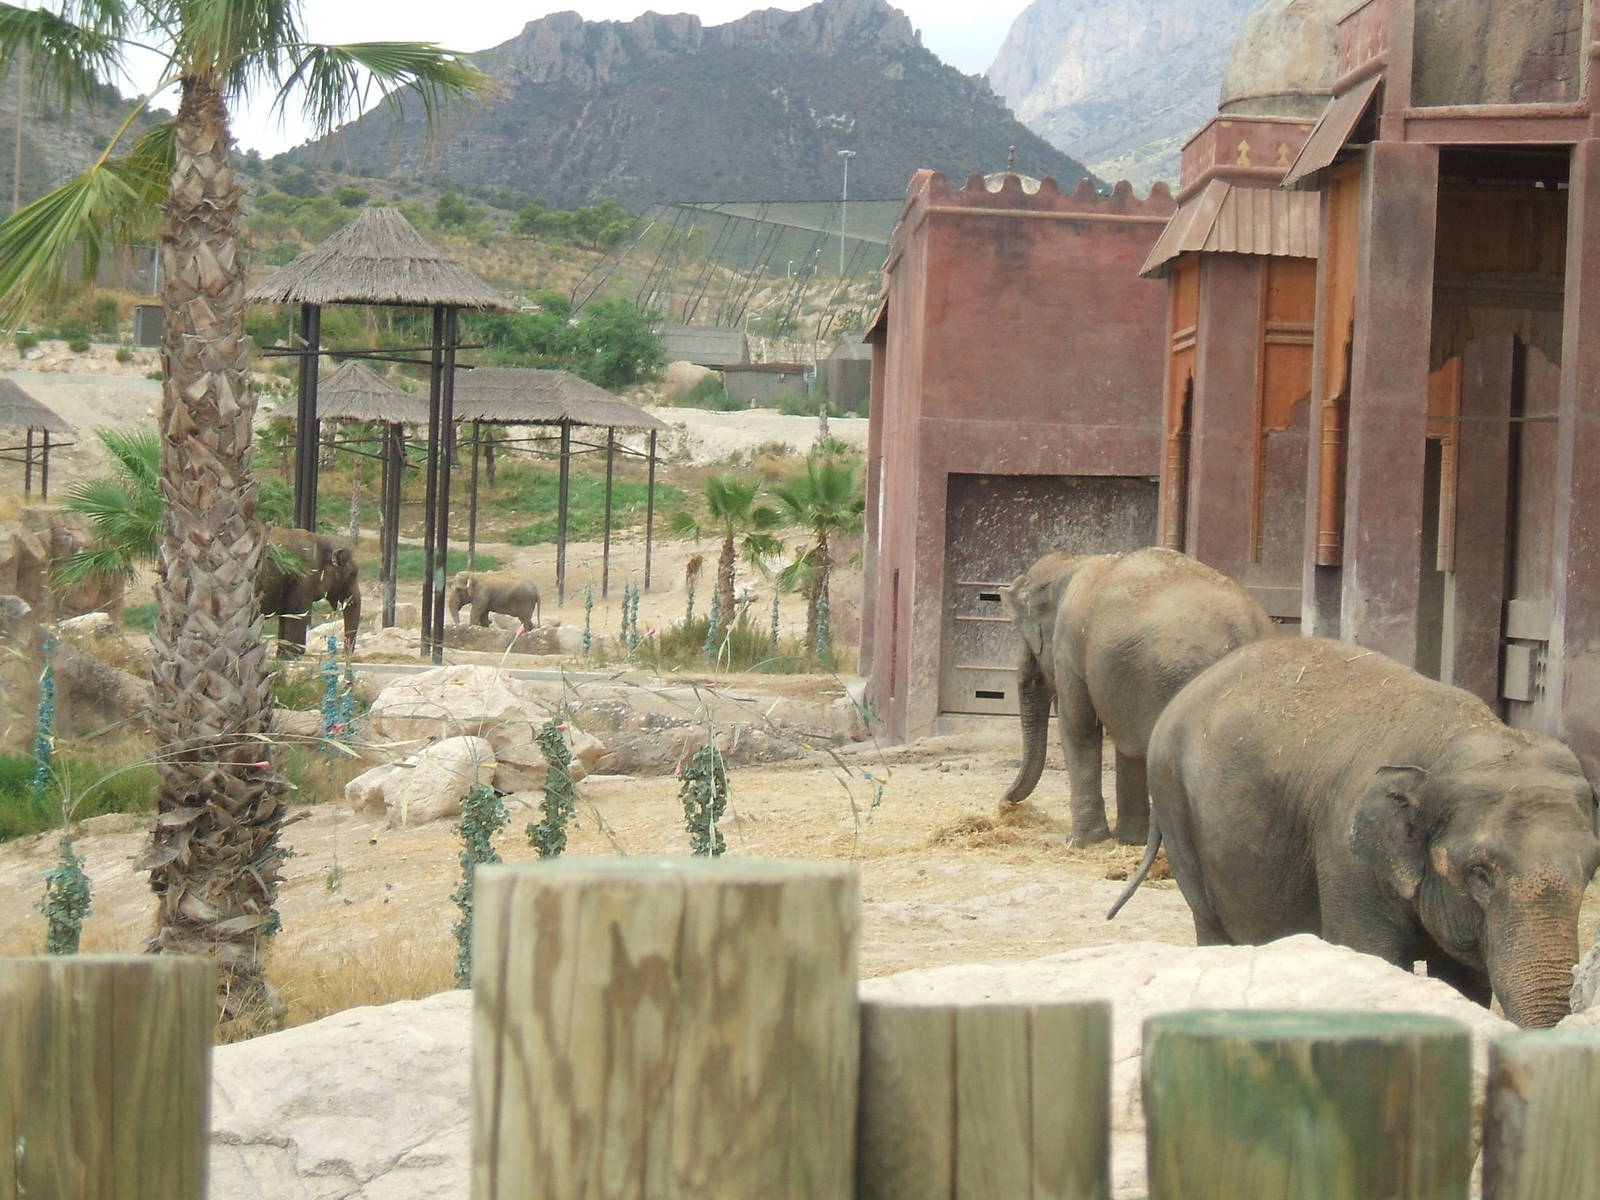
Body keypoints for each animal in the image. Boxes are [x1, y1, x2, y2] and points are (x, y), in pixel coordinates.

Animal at [1001, 547, 1274, 846]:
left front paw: (1079, 842)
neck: (1071, 563)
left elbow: (1079, 726)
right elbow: (1124, 742)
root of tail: (1242, 629)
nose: (1004, 803)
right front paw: (1129, 840)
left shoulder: (1068, 647)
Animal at [1110, 636, 1600, 1028]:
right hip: (1175, 801)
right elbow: (1373, 955)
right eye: (1480, 873)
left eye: (1590, 871)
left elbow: (1466, 982)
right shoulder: (1346, 856)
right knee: (1211, 922)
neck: (1454, 740)